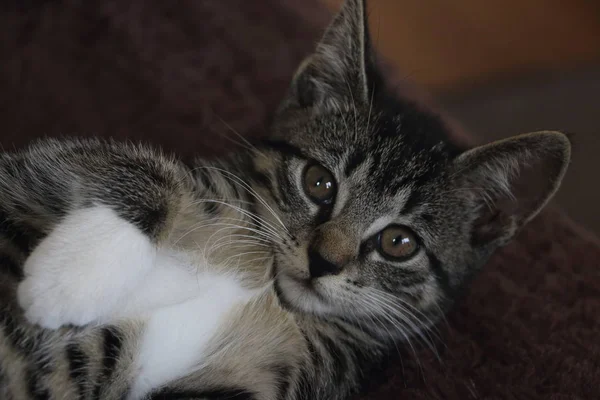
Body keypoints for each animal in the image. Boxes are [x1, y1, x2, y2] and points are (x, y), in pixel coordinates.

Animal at [0, 0, 572, 400]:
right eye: (320, 182)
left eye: (399, 242)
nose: (323, 261)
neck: (269, 289)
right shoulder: (33, 170)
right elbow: (137, 168)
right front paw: (69, 277)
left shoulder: (278, 380)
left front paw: (65, 280)